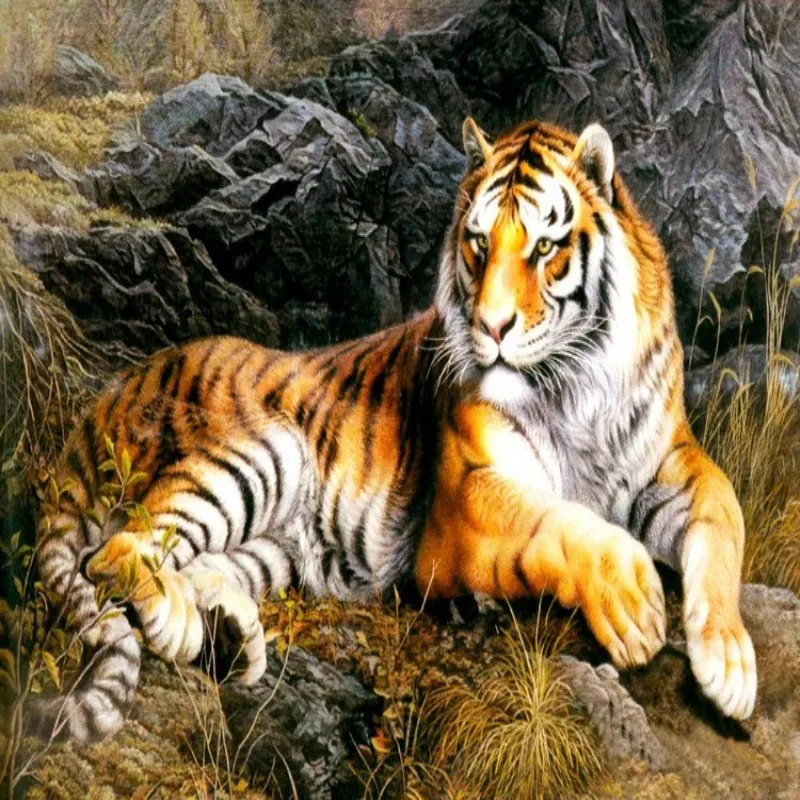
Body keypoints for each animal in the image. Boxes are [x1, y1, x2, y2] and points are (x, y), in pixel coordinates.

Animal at [31, 116, 757, 743]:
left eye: (545, 249)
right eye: (479, 243)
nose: (491, 327)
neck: (574, 385)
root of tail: (105, 400)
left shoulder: (667, 458)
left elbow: (725, 510)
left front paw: (728, 663)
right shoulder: (461, 503)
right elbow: (559, 521)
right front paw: (634, 604)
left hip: (274, 548)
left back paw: (231, 636)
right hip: (266, 450)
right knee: (115, 550)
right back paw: (179, 623)